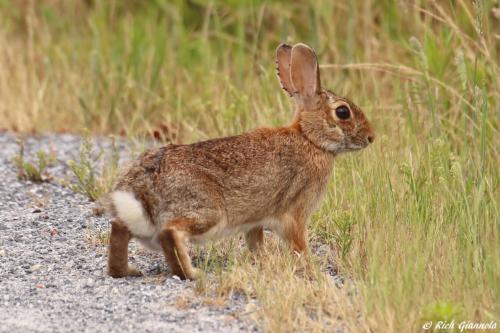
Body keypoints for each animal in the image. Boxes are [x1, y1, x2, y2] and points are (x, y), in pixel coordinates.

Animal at [104, 42, 376, 278]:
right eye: (343, 112)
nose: (371, 137)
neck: (310, 139)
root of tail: (144, 192)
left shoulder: (255, 222)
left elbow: (256, 243)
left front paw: (263, 263)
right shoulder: (295, 214)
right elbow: (299, 245)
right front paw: (313, 269)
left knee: (119, 228)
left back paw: (126, 271)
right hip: (209, 211)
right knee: (170, 233)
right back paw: (193, 274)